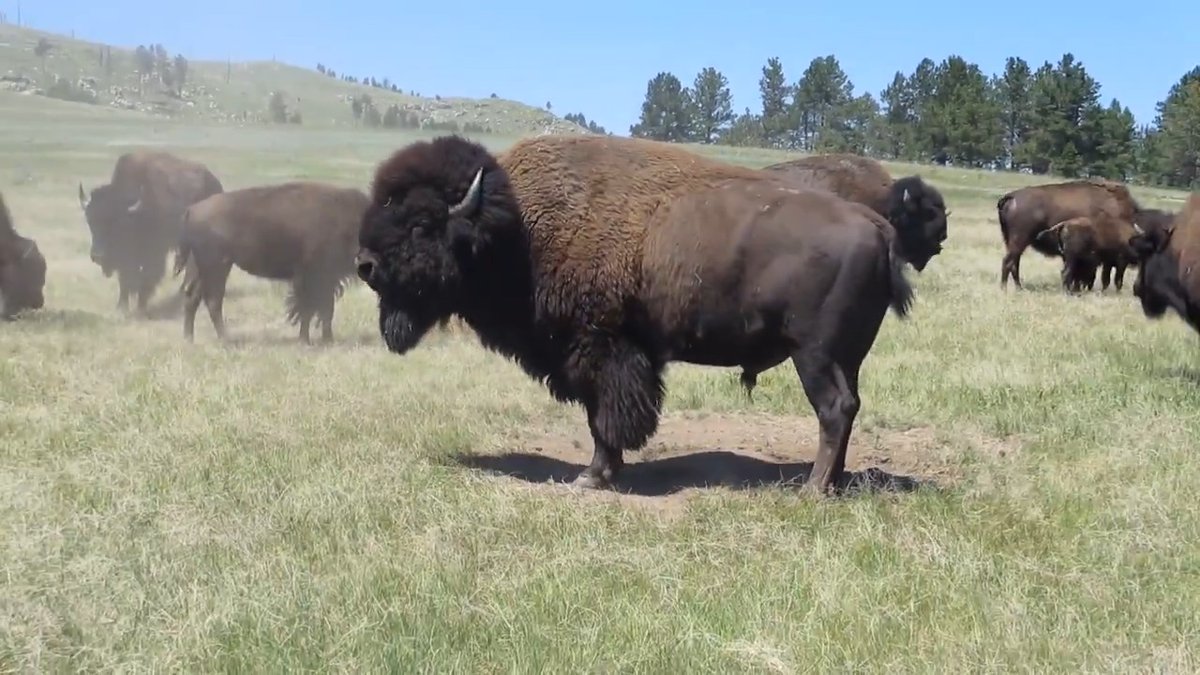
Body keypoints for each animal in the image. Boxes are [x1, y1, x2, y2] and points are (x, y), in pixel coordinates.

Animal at [78, 151, 223, 315]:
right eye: (90, 221)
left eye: (116, 223)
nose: (98, 256)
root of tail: (216, 184)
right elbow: (125, 280)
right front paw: (121, 307)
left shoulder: (154, 254)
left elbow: (147, 278)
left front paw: (141, 307)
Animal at [172, 181, 370, 344]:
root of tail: (192, 210)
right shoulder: (312, 276)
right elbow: (309, 308)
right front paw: (306, 340)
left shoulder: (327, 279)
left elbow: (325, 308)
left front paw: (327, 339)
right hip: (218, 267)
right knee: (213, 300)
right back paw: (226, 340)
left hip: (199, 267)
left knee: (192, 297)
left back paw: (189, 339)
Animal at [996, 178, 1151, 290]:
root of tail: (1012, 196)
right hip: (1019, 241)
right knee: (1008, 262)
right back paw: (1006, 288)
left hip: (1012, 242)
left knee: (1014, 263)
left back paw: (1018, 288)